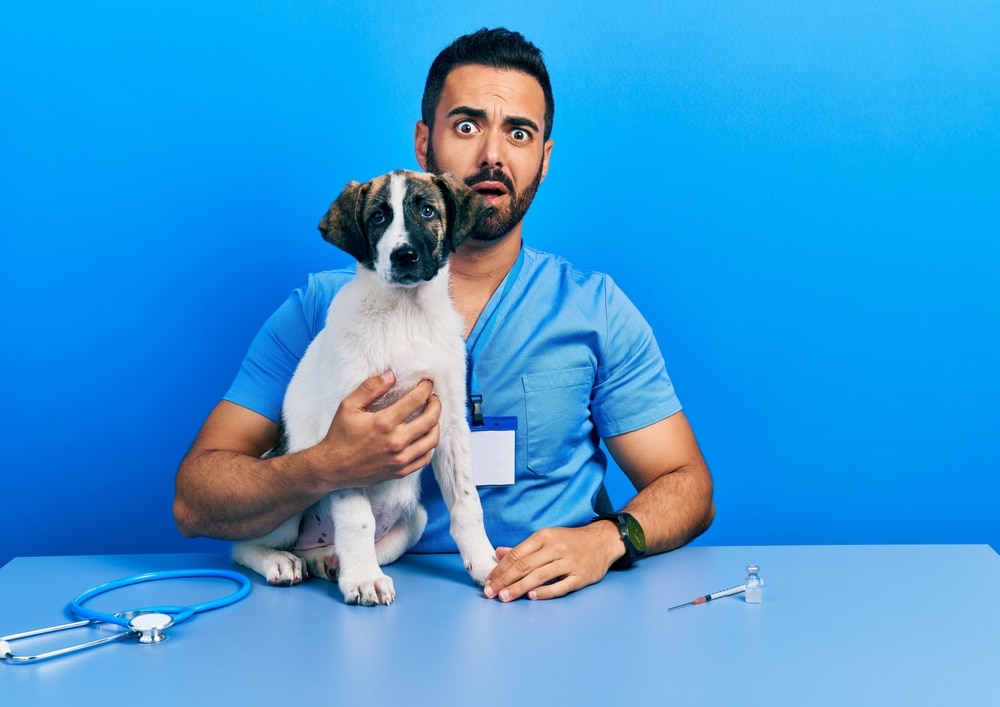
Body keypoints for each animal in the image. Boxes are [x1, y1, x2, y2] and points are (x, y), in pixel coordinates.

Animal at [234, 169, 500, 604]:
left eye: (427, 211)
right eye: (378, 217)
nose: (403, 256)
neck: (406, 313)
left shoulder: (451, 424)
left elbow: (467, 504)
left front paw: (485, 561)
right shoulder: (348, 438)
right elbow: (356, 518)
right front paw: (363, 578)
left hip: (415, 519)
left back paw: (329, 562)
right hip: (286, 485)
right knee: (243, 545)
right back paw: (281, 562)